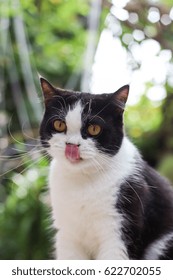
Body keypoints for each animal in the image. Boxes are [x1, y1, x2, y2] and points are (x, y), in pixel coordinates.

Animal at [39, 77, 173, 260]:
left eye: (94, 129)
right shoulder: (67, 235)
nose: (71, 146)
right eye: (59, 124)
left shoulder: (122, 226)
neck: (82, 181)